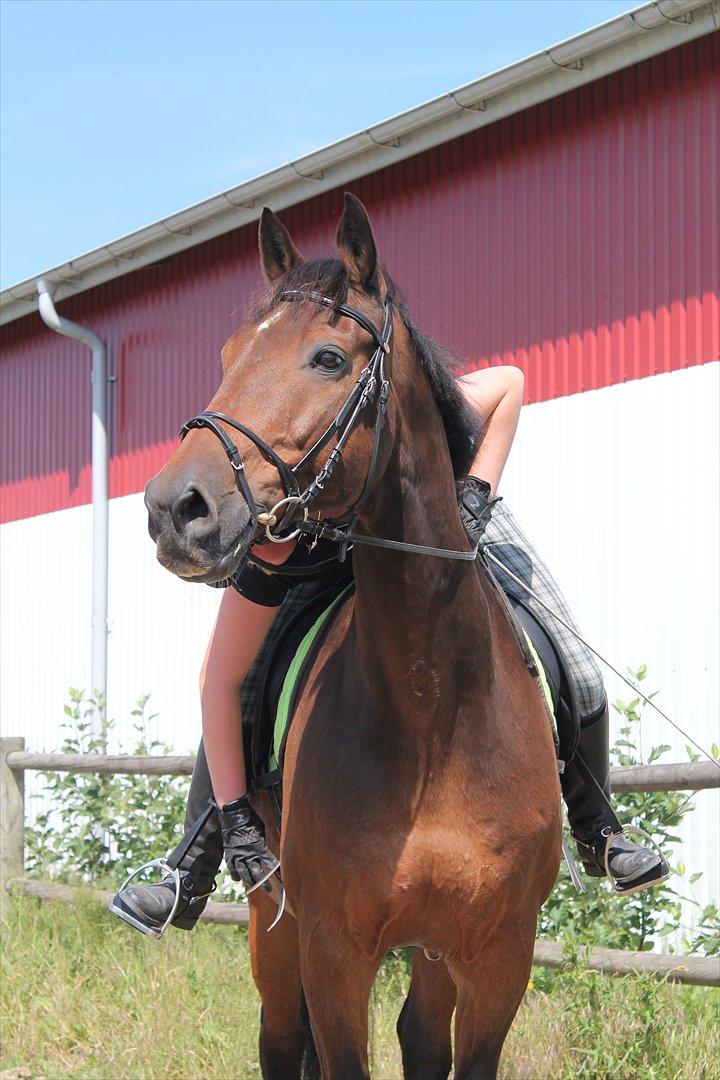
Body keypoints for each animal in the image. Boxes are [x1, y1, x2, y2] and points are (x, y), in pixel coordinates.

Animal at [144, 196, 561, 1080]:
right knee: (278, 1038)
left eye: (329, 358)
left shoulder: (498, 955)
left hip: (433, 950)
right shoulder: (333, 952)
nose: (174, 508)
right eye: (228, 356)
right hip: (277, 930)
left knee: (418, 1035)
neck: (432, 709)